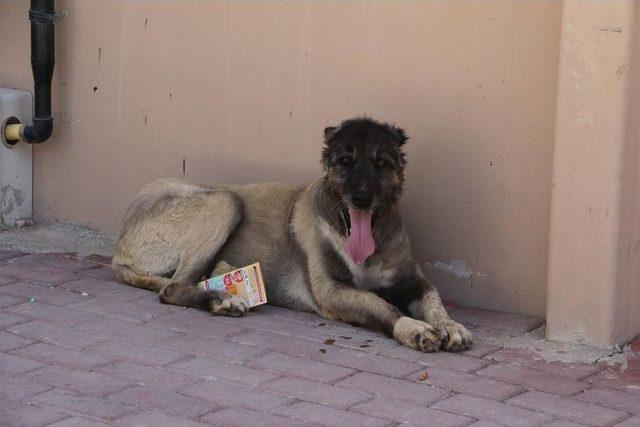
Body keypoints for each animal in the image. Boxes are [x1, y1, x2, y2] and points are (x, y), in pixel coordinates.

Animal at [111, 117, 470, 352]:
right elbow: (381, 305)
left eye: (382, 163)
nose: (362, 199)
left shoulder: (413, 281)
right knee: (171, 288)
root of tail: (119, 250)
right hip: (226, 201)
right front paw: (412, 327)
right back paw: (220, 298)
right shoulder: (332, 292)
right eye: (345, 160)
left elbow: (434, 299)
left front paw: (449, 324)